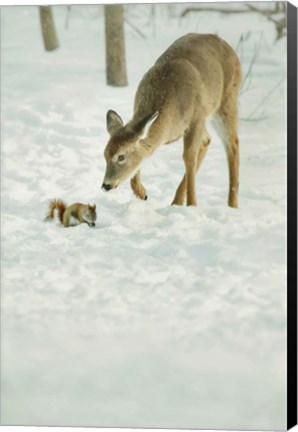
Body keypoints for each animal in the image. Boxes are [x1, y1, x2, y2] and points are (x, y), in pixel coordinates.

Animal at [101, 33, 241, 207]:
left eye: (121, 157)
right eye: (105, 154)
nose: (106, 185)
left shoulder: (197, 117)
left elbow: (188, 157)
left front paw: (192, 204)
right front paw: (141, 192)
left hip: (227, 100)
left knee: (232, 144)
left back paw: (232, 204)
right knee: (207, 141)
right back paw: (176, 201)